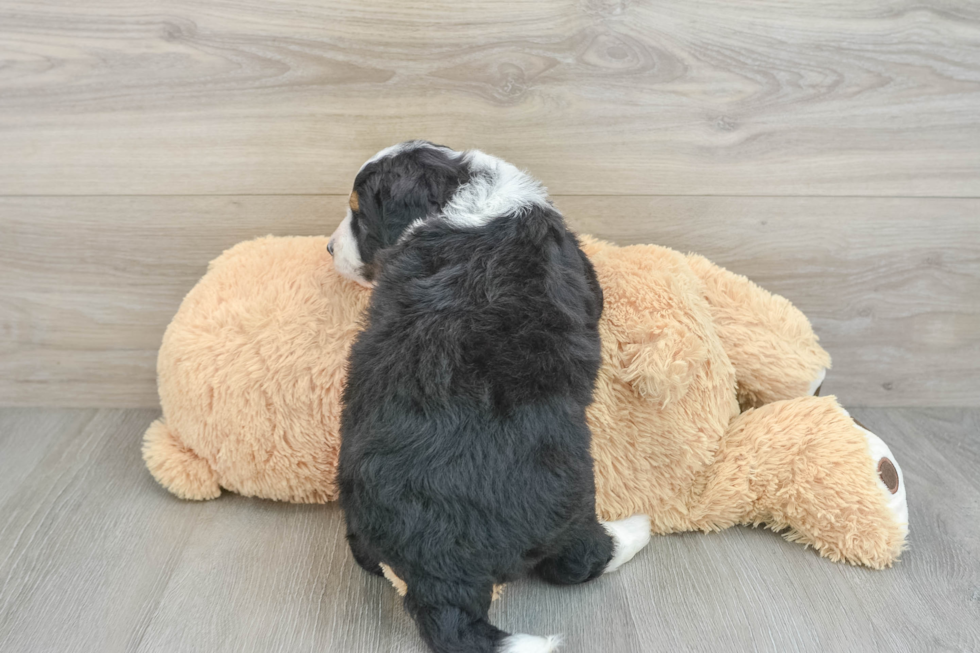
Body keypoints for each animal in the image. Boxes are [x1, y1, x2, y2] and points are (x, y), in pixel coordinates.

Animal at [332, 141, 652, 652]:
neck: (463, 195)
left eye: (359, 216)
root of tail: (439, 578)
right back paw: (635, 531)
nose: (328, 248)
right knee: (578, 560)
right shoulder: (575, 262)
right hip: (570, 497)